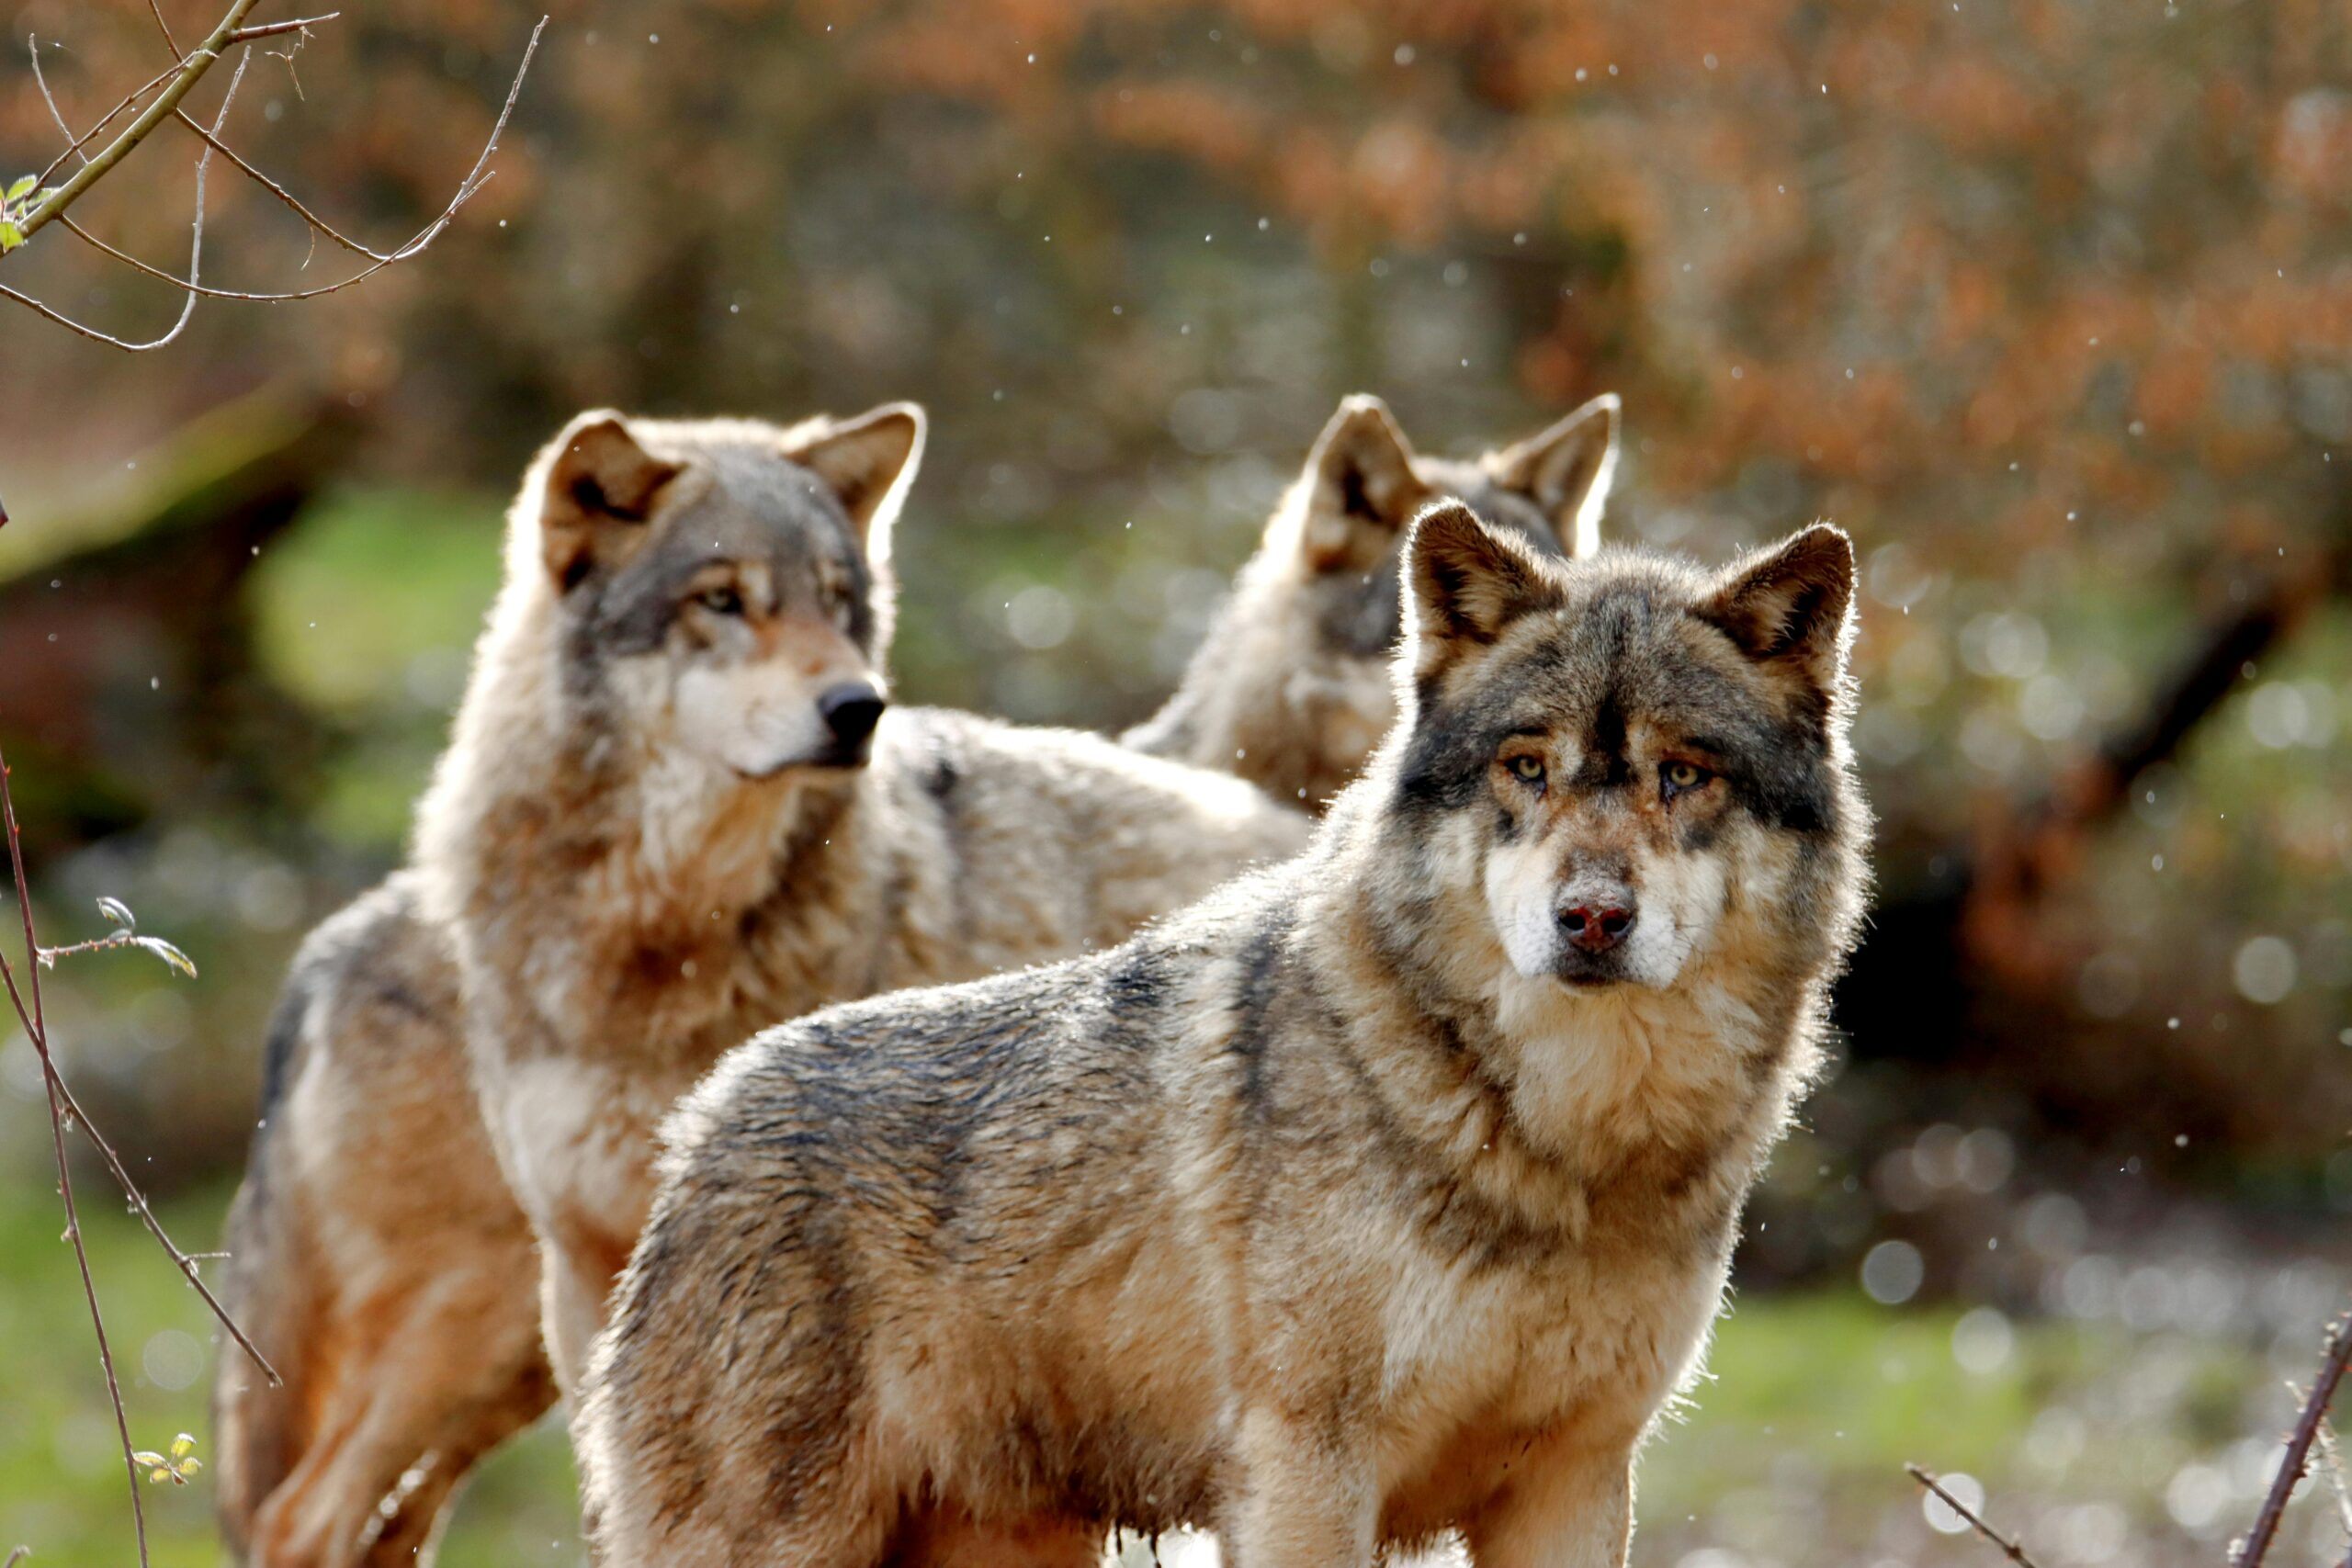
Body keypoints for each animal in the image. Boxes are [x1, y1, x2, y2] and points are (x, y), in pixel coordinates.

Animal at [577, 503, 1869, 1568]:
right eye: (1526, 768)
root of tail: (705, 1118)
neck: (1561, 1147)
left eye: (1682, 775)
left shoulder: (1576, 1480)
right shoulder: (1305, 1471)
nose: (1592, 919)